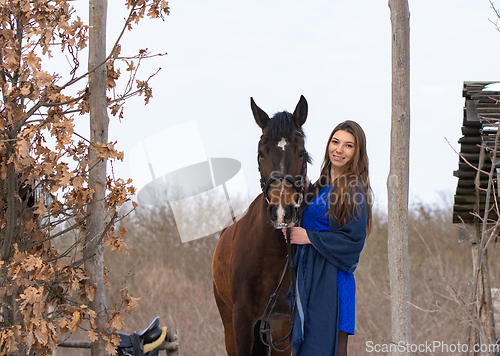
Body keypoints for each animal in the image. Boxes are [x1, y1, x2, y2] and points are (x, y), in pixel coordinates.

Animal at [211, 95, 308, 356]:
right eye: (261, 153)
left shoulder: (283, 323)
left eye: (302, 153)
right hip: (229, 323)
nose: (282, 211)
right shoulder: (241, 320)